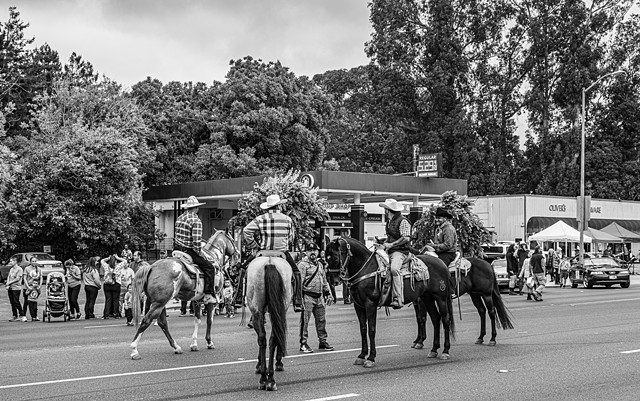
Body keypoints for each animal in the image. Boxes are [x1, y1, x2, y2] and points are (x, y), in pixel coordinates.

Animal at [130, 228, 240, 360]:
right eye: (232, 239)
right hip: (159, 303)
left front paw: (194, 344)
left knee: (162, 323)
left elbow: (197, 320)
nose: (238, 255)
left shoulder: (197, 301)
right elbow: (209, 320)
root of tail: (151, 267)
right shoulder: (213, 300)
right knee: (146, 320)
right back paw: (134, 350)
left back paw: (176, 347)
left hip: (158, 303)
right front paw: (209, 342)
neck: (213, 256)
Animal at [245, 250, 292, 390]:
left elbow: (259, 338)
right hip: (278, 308)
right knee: (273, 338)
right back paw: (270, 379)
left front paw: (260, 365)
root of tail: (270, 262)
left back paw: (265, 379)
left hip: (258, 310)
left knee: (263, 338)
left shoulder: (256, 314)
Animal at [324, 236, 456, 368]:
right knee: (436, 319)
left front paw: (371, 358)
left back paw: (445, 351)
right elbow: (363, 329)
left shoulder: (370, 304)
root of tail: (442, 263)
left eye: (335, 258)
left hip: (441, 298)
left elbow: (371, 330)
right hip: (427, 298)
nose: (331, 281)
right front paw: (361, 356)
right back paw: (434, 350)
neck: (365, 269)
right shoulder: (359, 306)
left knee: (445, 320)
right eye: (326, 259)